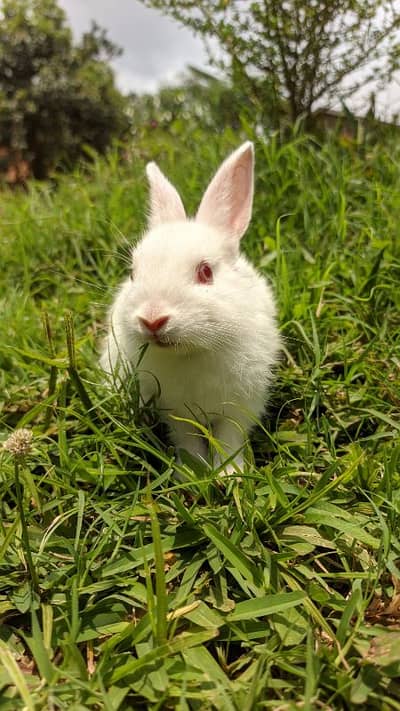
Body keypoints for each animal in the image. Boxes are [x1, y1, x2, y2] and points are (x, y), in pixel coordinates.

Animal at [100, 142, 281, 474]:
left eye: (205, 272)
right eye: (133, 273)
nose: (153, 319)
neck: (191, 351)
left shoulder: (239, 407)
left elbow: (228, 440)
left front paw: (230, 474)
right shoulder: (175, 413)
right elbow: (187, 440)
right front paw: (191, 471)